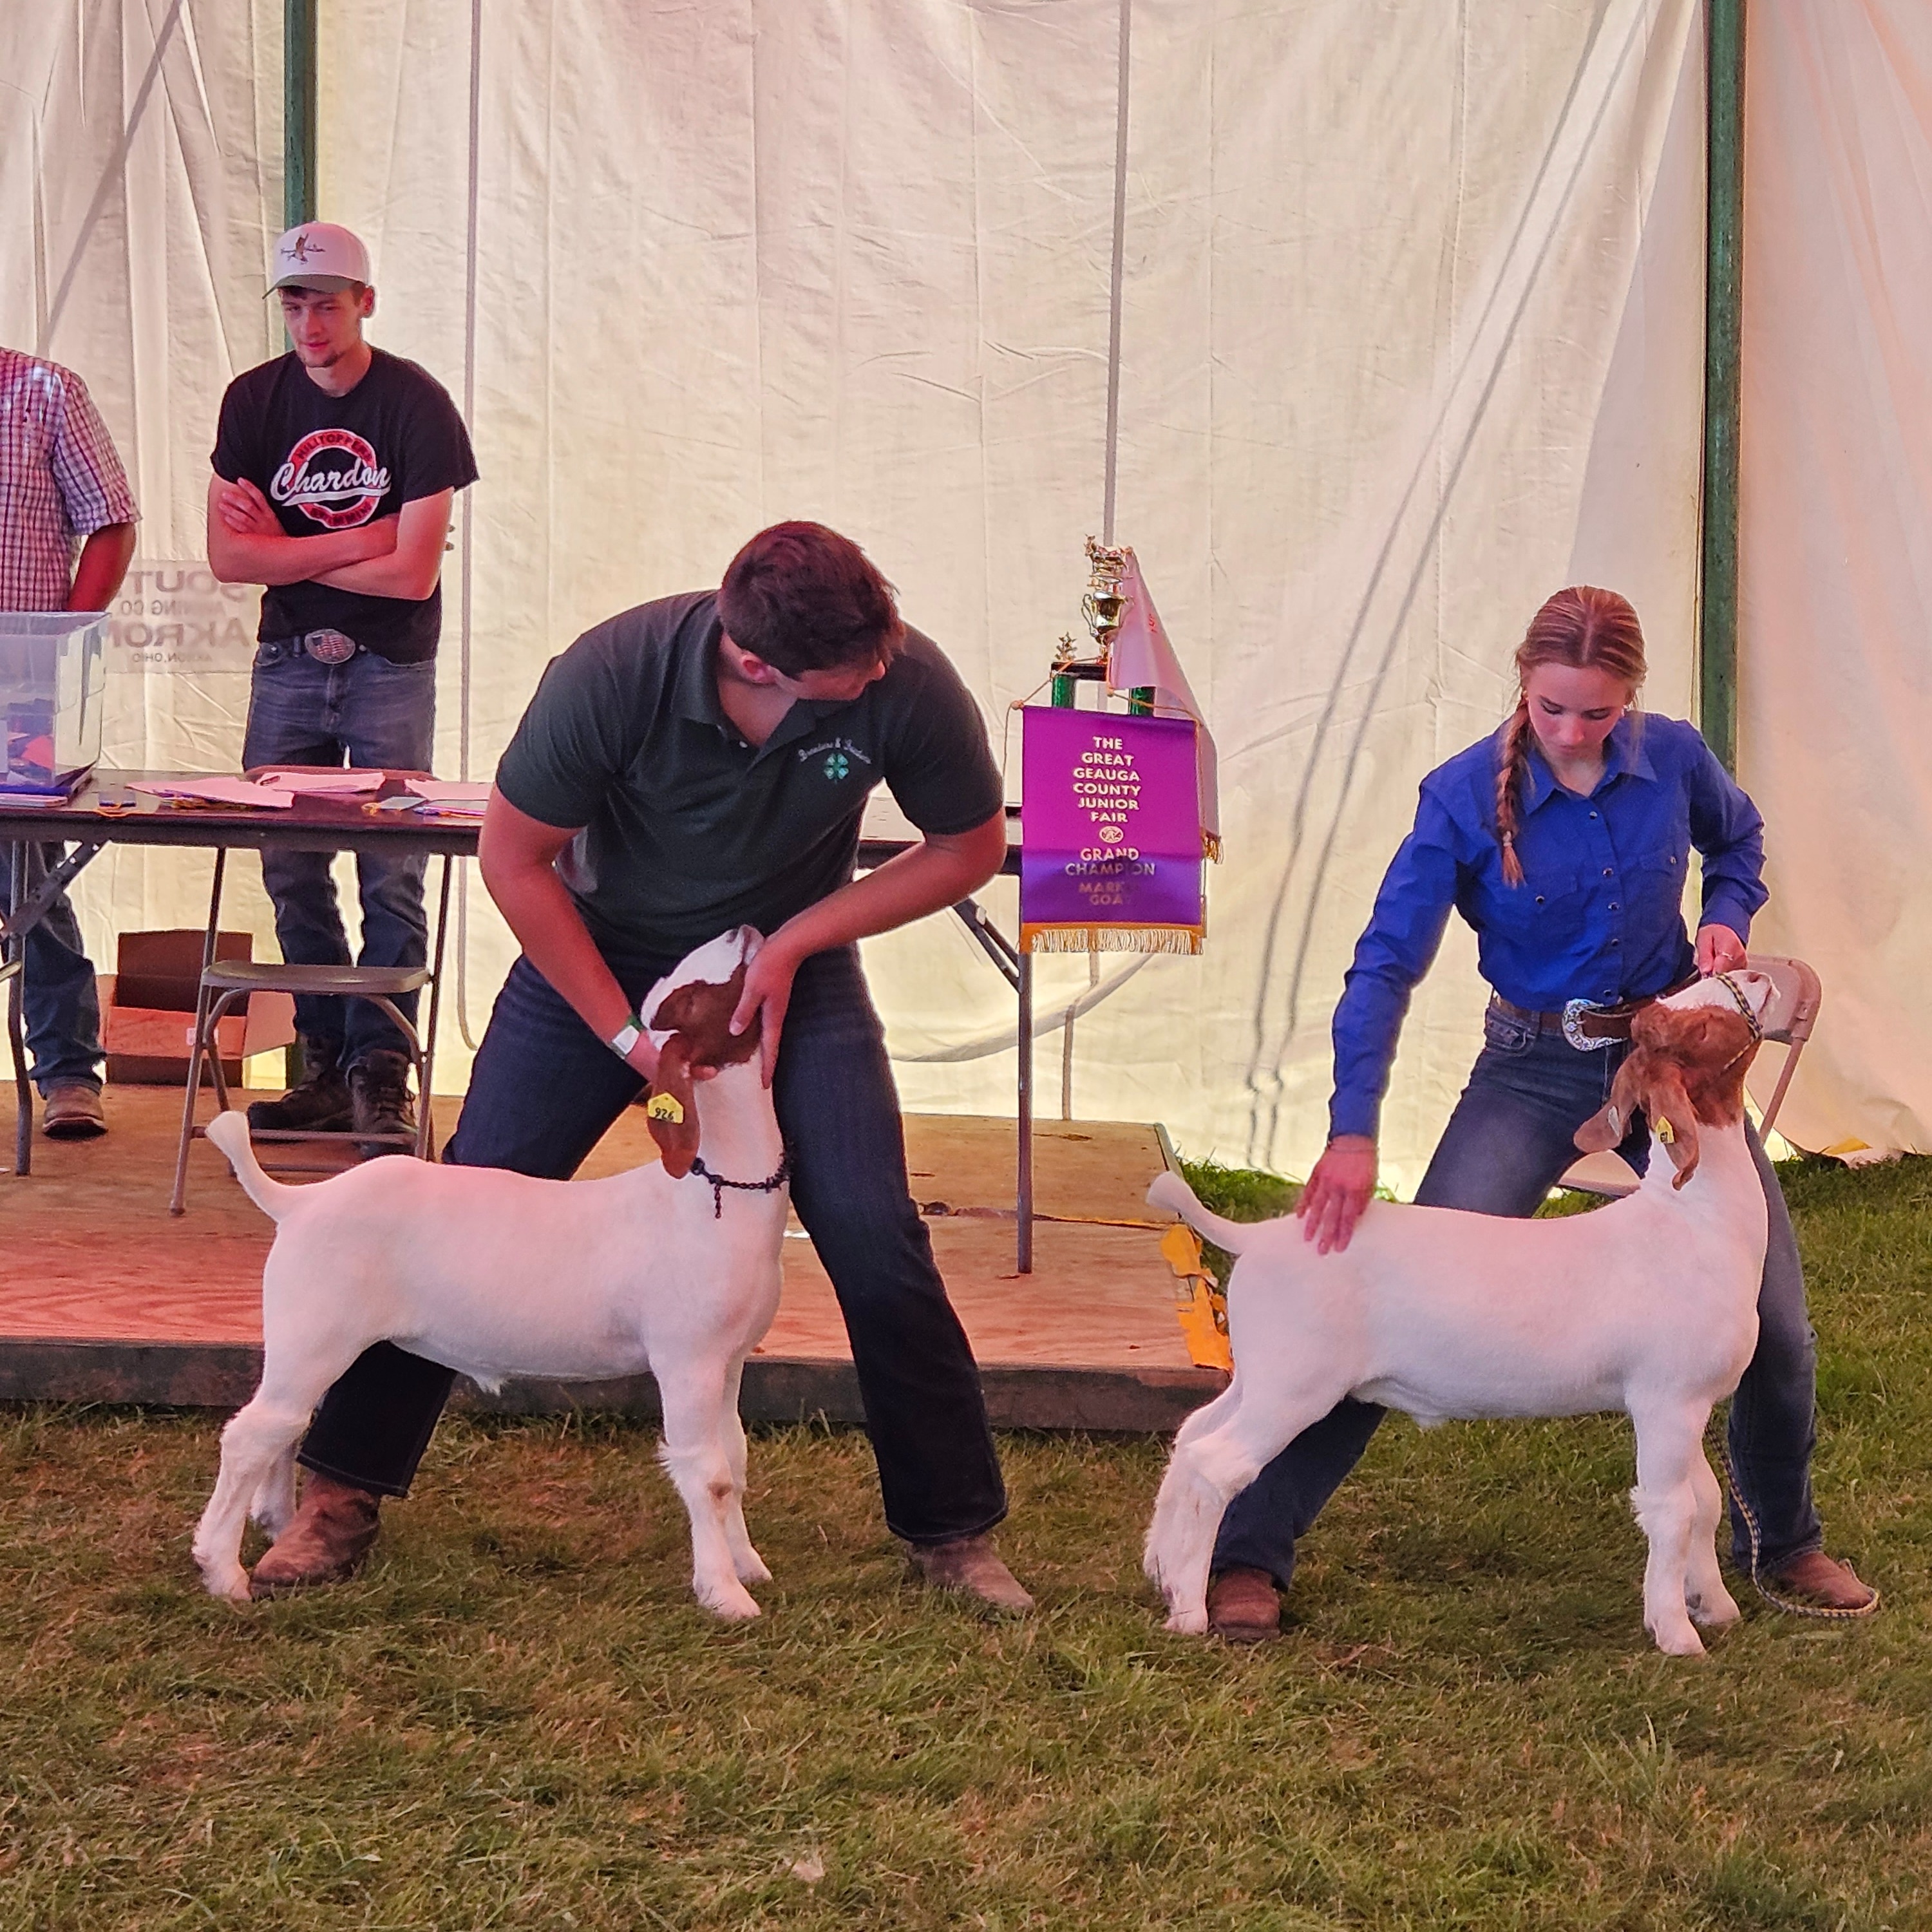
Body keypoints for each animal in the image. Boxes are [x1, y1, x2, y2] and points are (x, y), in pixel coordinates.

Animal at [196, 927, 792, 1623]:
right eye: (691, 1000)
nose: (740, 931)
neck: (712, 1190)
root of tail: (300, 1202)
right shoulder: (686, 1357)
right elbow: (708, 1473)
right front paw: (724, 1595)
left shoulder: (730, 1358)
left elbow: (737, 1460)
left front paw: (748, 1566)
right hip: (314, 1326)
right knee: (251, 1434)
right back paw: (222, 1571)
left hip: (313, 1340)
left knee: (283, 1426)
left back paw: (276, 1524)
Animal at [1136, 974, 1770, 1654]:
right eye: (1698, 1027)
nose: (1757, 976)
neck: (1692, 1218)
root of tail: (1258, 1237)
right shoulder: (1665, 1398)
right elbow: (1672, 1510)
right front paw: (1677, 1633)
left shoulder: (1690, 1403)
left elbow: (1706, 1500)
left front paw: (1716, 1606)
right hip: (1297, 1386)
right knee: (1216, 1465)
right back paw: (1189, 1611)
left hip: (1263, 1374)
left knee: (1192, 1435)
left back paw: (1161, 1570)